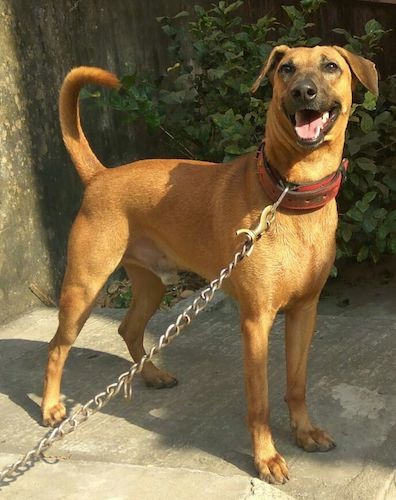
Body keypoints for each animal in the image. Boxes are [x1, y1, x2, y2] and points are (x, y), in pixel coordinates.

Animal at [42, 45, 378, 482]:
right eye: (286, 69)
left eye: (331, 66)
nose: (303, 92)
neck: (289, 194)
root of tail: (101, 176)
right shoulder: (255, 322)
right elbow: (260, 402)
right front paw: (266, 458)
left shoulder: (305, 312)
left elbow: (297, 384)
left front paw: (304, 433)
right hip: (84, 288)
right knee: (57, 346)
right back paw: (51, 407)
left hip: (152, 285)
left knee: (128, 328)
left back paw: (152, 374)